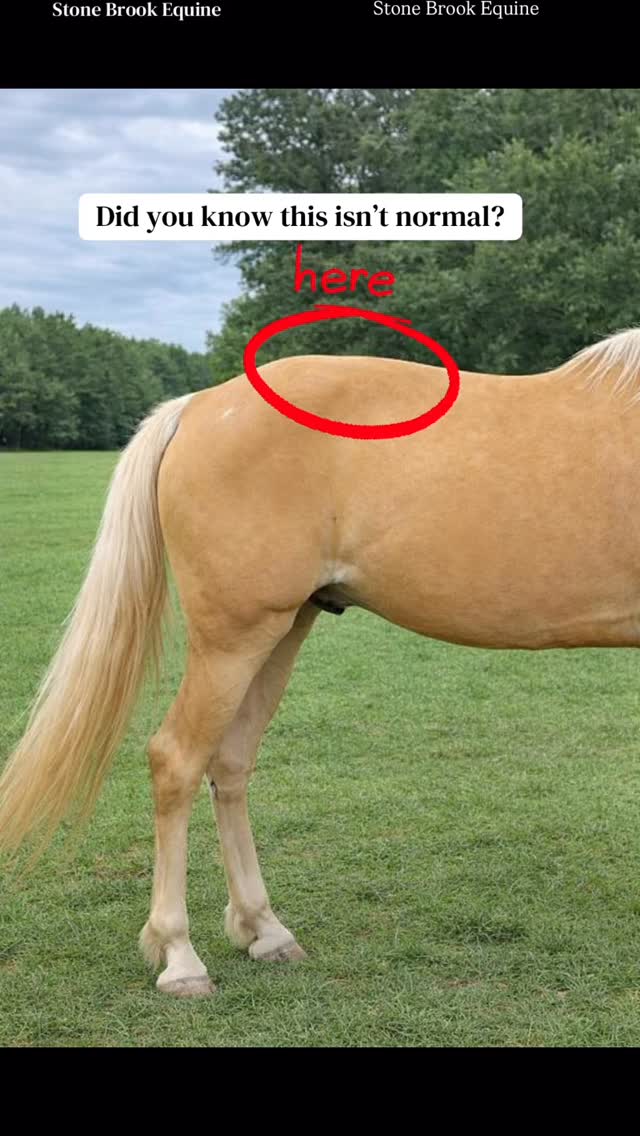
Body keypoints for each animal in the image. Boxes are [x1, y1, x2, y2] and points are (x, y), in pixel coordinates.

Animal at [1, 327, 639, 997]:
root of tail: (197, 407)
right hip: (234, 638)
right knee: (176, 761)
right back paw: (180, 958)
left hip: (278, 632)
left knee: (229, 763)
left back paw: (265, 930)